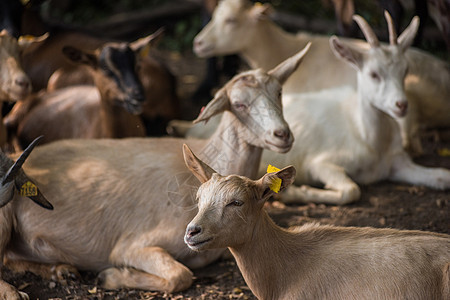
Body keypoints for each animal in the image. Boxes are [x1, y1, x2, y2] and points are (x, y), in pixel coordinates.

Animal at [0, 45, 310, 298]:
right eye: (239, 104)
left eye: (279, 93)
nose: (282, 135)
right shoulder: (133, 244)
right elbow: (180, 276)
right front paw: (111, 276)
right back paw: (17, 291)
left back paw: (60, 269)